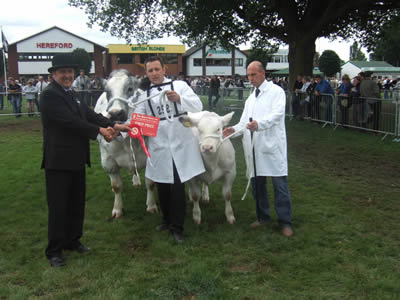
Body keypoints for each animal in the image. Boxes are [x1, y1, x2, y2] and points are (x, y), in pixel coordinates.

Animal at [94, 69, 157, 217]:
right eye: (107, 91)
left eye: (130, 89)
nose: (115, 113)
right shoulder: (108, 162)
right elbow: (117, 186)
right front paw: (117, 210)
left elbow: (151, 183)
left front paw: (151, 206)